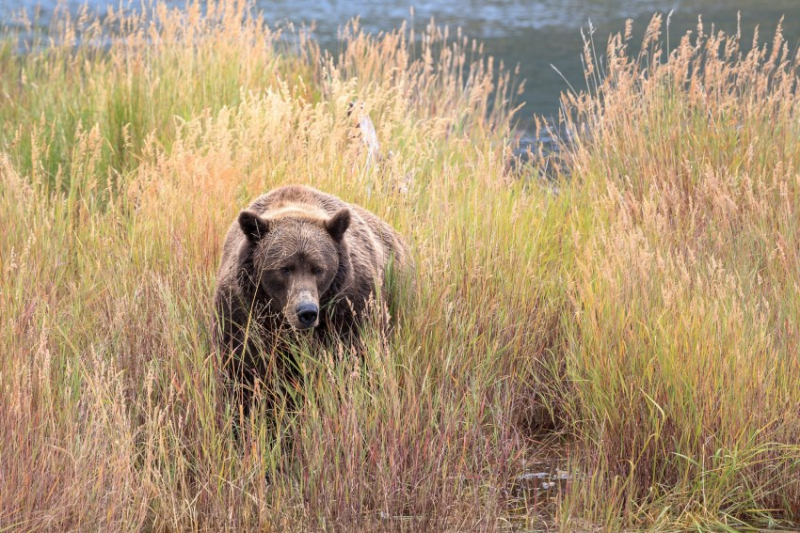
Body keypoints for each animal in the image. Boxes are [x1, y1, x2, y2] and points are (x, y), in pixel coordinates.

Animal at [214, 183, 412, 400]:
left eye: (318, 269)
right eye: (284, 268)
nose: (307, 312)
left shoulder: (351, 306)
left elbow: (358, 356)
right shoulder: (242, 311)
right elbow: (242, 367)